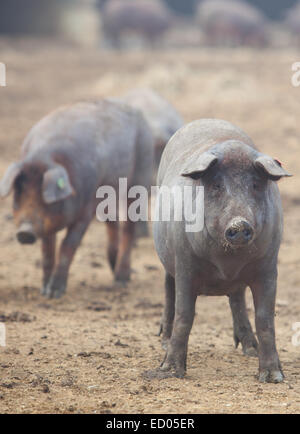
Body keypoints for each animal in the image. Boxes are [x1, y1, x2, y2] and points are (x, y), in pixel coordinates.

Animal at [0, 99, 152, 298]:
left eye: (43, 195)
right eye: (19, 192)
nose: (25, 232)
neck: (46, 157)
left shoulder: (85, 210)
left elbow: (67, 245)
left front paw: (55, 293)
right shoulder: (48, 224)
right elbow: (47, 251)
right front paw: (44, 292)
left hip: (139, 177)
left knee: (128, 226)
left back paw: (121, 281)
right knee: (112, 221)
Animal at [152, 118, 290, 384]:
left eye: (255, 184)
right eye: (216, 185)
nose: (239, 224)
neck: (227, 264)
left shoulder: (269, 266)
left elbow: (265, 318)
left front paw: (273, 377)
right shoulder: (185, 264)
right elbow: (185, 314)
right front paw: (170, 372)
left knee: (237, 298)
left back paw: (250, 349)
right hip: (167, 256)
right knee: (168, 289)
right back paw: (163, 342)